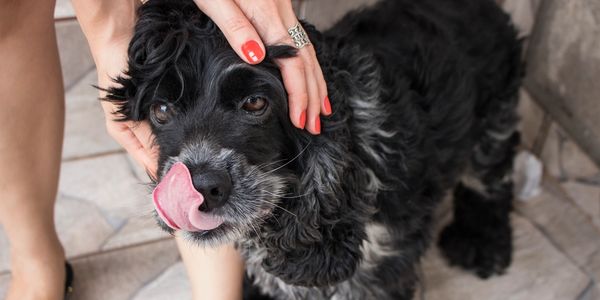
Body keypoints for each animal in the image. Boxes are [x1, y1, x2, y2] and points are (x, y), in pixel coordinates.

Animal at [105, 0, 524, 298]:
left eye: (255, 103)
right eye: (161, 111)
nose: (202, 188)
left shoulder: (378, 270)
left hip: (495, 117)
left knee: (492, 179)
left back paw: (481, 244)